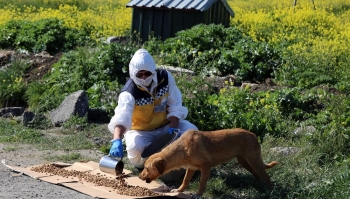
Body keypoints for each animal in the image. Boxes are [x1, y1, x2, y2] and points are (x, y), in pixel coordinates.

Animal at [138, 128, 278, 197]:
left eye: (146, 168)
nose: (139, 176)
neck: (183, 148)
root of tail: (254, 135)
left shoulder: (206, 166)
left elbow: (201, 183)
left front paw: (198, 195)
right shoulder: (191, 168)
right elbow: (185, 181)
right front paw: (178, 190)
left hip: (253, 161)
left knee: (266, 176)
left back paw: (269, 191)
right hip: (245, 162)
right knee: (257, 174)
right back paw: (259, 187)